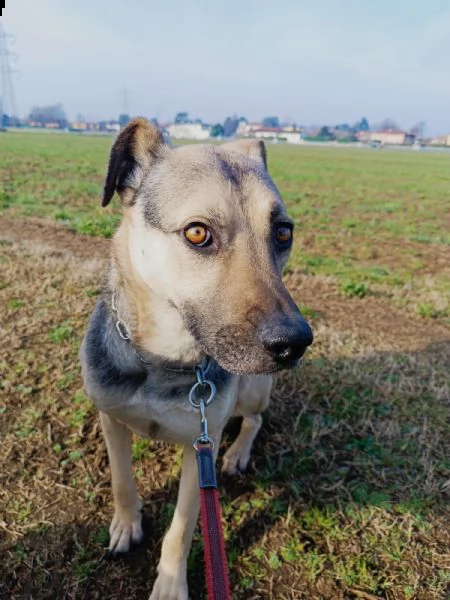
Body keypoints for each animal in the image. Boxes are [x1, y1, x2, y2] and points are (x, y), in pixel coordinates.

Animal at [79, 118, 312, 600]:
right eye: (198, 233)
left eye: (283, 232)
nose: (295, 343)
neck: (161, 360)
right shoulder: (110, 417)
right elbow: (122, 481)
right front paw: (126, 525)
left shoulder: (200, 444)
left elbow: (183, 527)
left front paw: (170, 586)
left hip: (251, 388)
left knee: (254, 419)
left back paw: (238, 454)